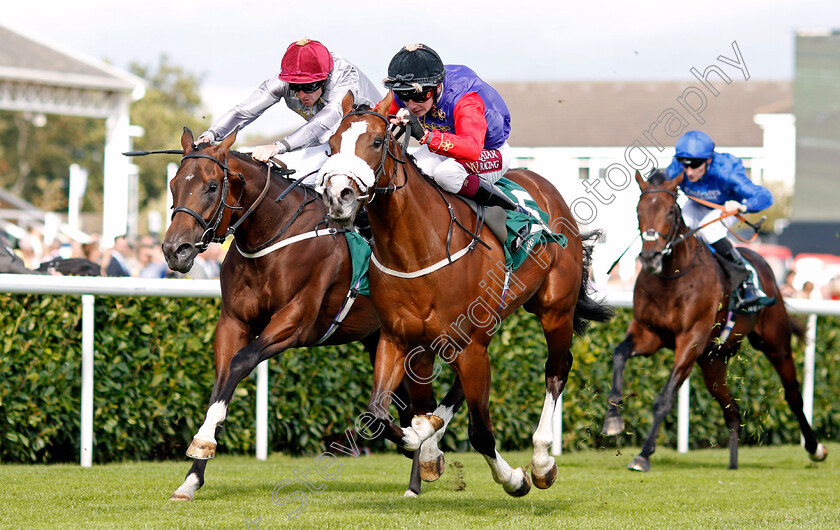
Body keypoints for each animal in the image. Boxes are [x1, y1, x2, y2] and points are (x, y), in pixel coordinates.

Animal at [162, 128, 434, 500]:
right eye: (174, 183)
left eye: (212, 186)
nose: (175, 250)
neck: (272, 237)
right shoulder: (232, 322)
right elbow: (222, 378)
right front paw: (192, 477)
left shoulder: (293, 323)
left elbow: (240, 363)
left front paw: (202, 441)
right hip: (378, 338)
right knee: (402, 403)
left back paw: (418, 474)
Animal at [316, 96, 612, 496]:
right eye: (331, 145)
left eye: (377, 142)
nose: (338, 197)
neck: (418, 251)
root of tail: (543, 184)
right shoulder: (399, 339)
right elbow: (380, 415)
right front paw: (424, 441)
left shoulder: (469, 346)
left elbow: (481, 433)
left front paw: (514, 479)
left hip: (554, 309)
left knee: (557, 369)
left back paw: (541, 460)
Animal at [600, 170, 832, 470]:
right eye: (638, 210)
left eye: (670, 211)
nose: (650, 257)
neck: (673, 277)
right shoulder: (648, 333)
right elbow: (619, 354)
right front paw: (613, 421)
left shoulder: (690, 340)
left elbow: (664, 398)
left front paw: (642, 455)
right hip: (712, 362)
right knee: (732, 411)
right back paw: (733, 463)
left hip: (775, 342)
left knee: (792, 395)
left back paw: (816, 448)